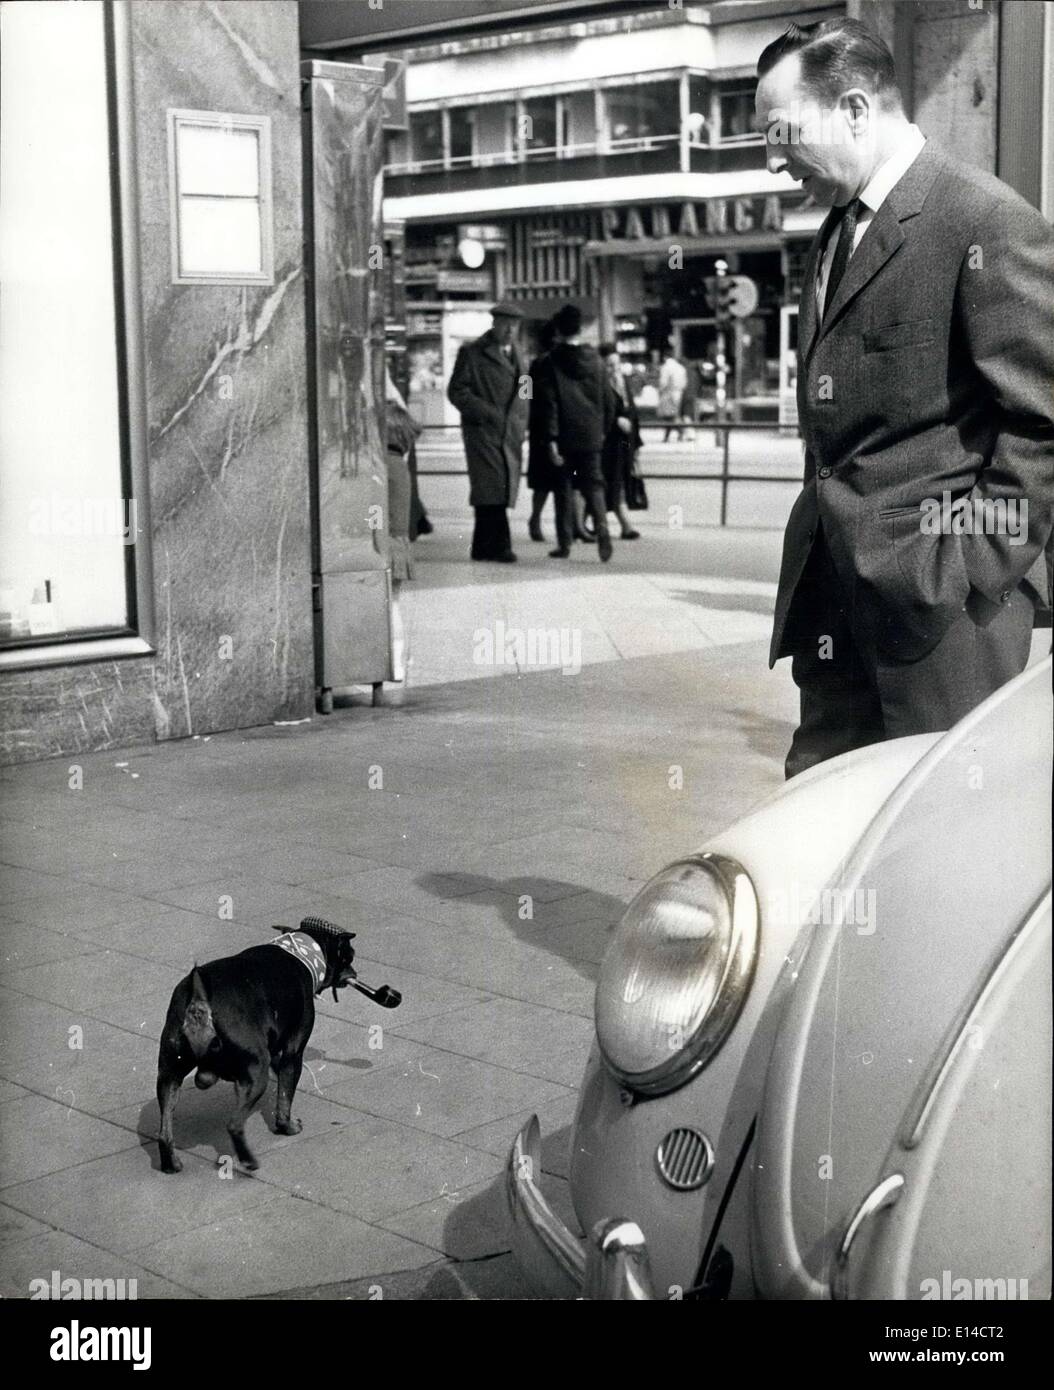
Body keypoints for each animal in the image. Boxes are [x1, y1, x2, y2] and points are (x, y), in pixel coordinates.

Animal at [153, 922, 358, 1173]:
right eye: (349, 956)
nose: (355, 974)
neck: (302, 951)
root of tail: (199, 1004)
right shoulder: (292, 1054)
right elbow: (284, 1097)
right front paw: (288, 1127)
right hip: (257, 1071)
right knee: (234, 1124)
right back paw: (249, 1161)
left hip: (169, 1075)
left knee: (164, 1132)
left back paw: (170, 1164)